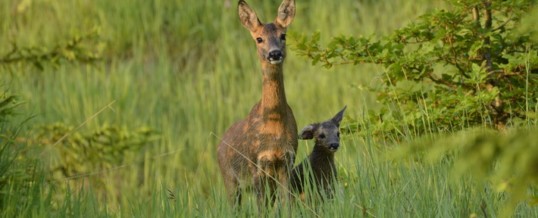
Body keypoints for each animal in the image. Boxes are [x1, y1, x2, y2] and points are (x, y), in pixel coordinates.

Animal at [216, 0, 296, 206]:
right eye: (259, 39)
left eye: (283, 35)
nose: (274, 53)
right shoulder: (256, 165)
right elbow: (261, 208)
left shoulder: (287, 161)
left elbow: (287, 204)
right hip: (230, 179)